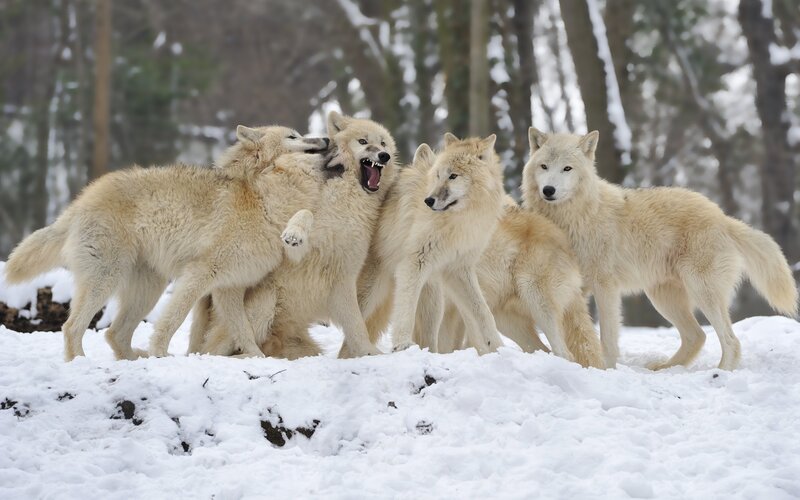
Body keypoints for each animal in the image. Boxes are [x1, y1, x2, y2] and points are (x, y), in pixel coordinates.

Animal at [4, 126, 328, 361]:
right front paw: (160, 353)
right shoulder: (200, 274)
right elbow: (173, 320)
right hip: (106, 280)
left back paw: (135, 360)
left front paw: (258, 359)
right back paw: (83, 364)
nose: (325, 138)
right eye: (293, 136)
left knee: (114, 334)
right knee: (72, 328)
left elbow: (244, 331)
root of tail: (79, 201)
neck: (262, 200)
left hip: (148, 289)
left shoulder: (230, 288)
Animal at [190, 112, 398, 359]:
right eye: (363, 142)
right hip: (265, 302)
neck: (347, 199)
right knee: (218, 350)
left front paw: (368, 353)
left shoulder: (344, 275)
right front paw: (294, 233)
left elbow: (357, 326)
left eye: (383, 143)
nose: (384, 156)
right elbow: (306, 214)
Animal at [357, 134, 506, 354]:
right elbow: (405, 310)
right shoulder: (414, 262)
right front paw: (402, 345)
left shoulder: (459, 269)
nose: (428, 201)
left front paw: (497, 346)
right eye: (437, 175)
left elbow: (483, 311)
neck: (460, 220)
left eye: (453, 176)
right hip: (370, 294)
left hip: (434, 302)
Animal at [523, 128, 798, 370]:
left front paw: (607, 370)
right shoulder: (574, 288)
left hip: (700, 291)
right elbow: (575, 334)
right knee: (697, 336)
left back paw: (720, 373)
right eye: (544, 167)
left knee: (731, 341)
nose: (549, 190)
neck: (575, 217)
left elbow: (607, 338)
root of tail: (723, 217)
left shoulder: (605, 286)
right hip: (663, 298)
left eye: (567, 168)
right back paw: (666, 368)